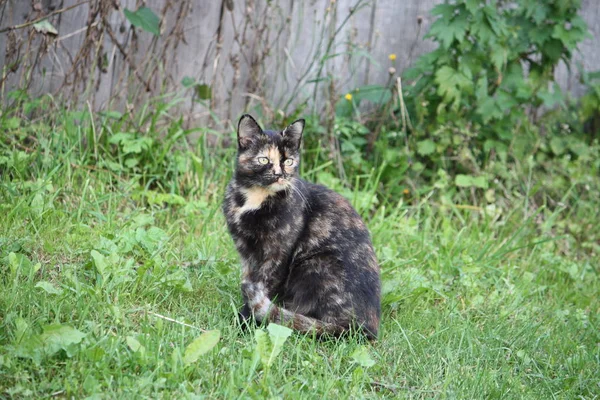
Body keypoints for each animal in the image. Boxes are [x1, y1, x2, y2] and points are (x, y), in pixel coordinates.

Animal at [223, 114, 382, 340]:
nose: (279, 174)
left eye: (289, 161)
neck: (254, 199)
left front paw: (243, 323)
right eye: (264, 159)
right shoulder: (246, 254)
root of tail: (362, 329)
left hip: (315, 264)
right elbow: (249, 282)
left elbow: (261, 287)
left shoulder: (277, 256)